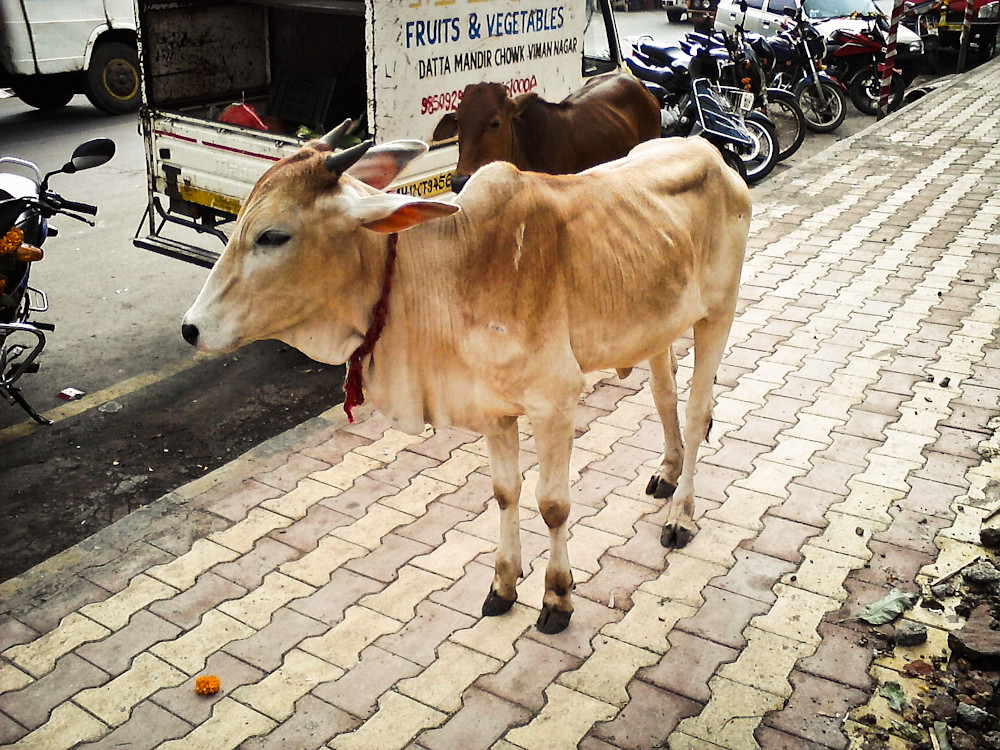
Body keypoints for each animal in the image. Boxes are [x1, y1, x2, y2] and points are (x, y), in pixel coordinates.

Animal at [181, 126, 751, 635]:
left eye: (273, 235)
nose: (191, 328)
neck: (453, 269)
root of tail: (711, 153)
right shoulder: (494, 407)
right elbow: (504, 492)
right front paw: (503, 586)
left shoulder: (555, 401)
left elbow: (552, 504)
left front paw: (557, 597)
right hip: (658, 324)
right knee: (663, 395)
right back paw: (667, 473)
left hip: (717, 314)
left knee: (697, 410)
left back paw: (681, 516)